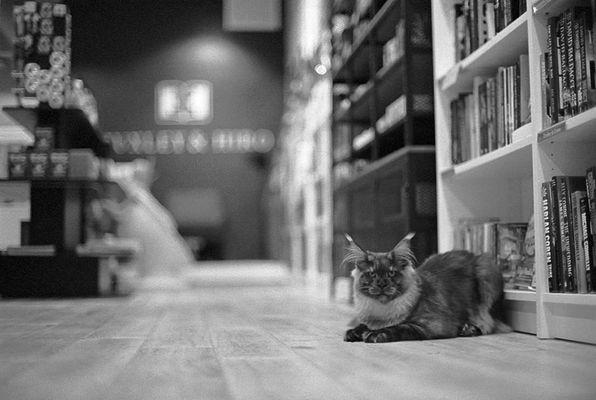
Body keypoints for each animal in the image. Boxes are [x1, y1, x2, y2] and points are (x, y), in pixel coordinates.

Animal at [342, 234, 510, 344]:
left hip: (487, 273)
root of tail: (473, 254)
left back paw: (468, 329)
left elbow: (400, 326)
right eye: (371, 274)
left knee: (489, 324)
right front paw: (355, 332)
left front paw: (374, 334)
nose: (382, 284)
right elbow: (363, 325)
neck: (382, 311)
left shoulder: (433, 324)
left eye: (391, 273)